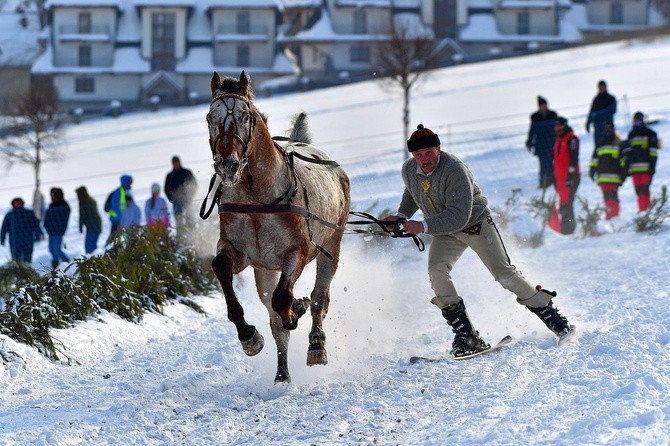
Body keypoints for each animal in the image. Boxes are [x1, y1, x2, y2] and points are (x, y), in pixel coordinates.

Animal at [205, 70, 352, 384]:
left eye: (245, 116)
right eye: (210, 116)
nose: (226, 165)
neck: (256, 196)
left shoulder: (296, 251)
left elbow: (284, 297)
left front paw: (296, 308)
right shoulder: (241, 252)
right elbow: (221, 267)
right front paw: (249, 337)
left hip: (331, 245)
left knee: (320, 298)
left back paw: (316, 345)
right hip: (265, 270)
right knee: (273, 317)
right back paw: (282, 373)